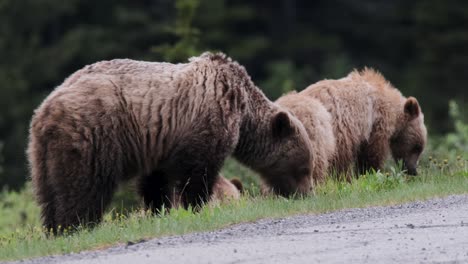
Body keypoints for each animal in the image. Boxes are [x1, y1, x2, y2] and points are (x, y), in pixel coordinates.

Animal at [27, 51, 312, 231]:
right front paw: (197, 207)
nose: (307, 193)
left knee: (48, 190)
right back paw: (77, 225)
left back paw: (54, 227)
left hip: (41, 152)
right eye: (304, 167)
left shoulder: (158, 141)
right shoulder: (204, 121)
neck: (242, 110)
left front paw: (160, 210)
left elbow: (155, 181)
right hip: (92, 134)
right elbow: (197, 173)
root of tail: (47, 110)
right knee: (84, 185)